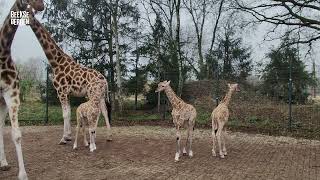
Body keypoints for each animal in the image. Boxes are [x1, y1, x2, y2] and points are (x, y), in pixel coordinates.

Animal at [26, 10, 113, 145]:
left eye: (26, 14)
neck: (56, 62)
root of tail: (105, 80)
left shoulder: (61, 91)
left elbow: (65, 114)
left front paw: (64, 138)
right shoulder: (67, 93)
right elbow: (69, 113)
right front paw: (68, 136)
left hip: (93, 94)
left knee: (97, 111)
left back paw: (94, 135)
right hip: (101, 95)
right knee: (104, 111)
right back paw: (108, 136)